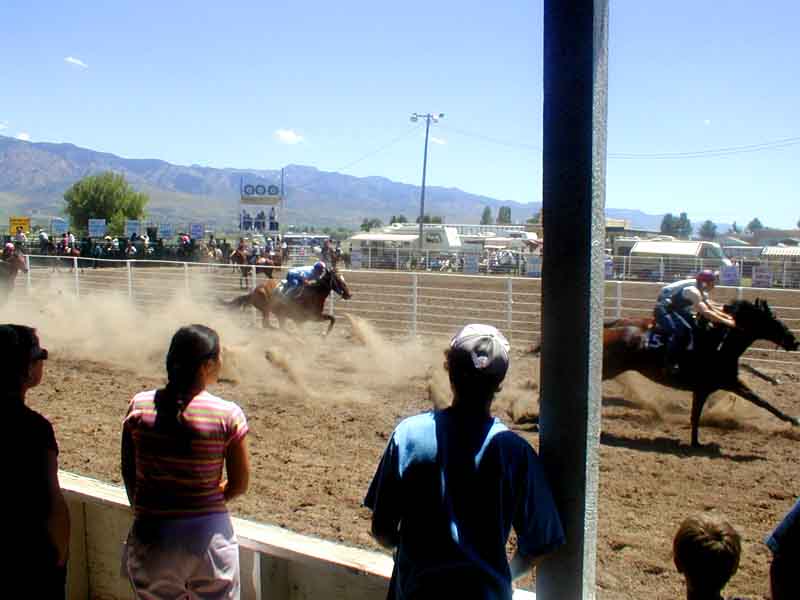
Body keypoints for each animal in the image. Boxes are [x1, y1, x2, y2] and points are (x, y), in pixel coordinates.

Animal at [222, 268, 354, 336]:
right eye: (338, 279)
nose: (349, 294)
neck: (313, 294)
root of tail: (253, 291)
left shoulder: (314, 316)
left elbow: (332, 318)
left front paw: (325, 334)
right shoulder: (303, 318)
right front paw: (324, 334)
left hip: (279, 314)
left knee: (276, 325)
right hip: (266, 309)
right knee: (267, 324)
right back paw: (281, 331)